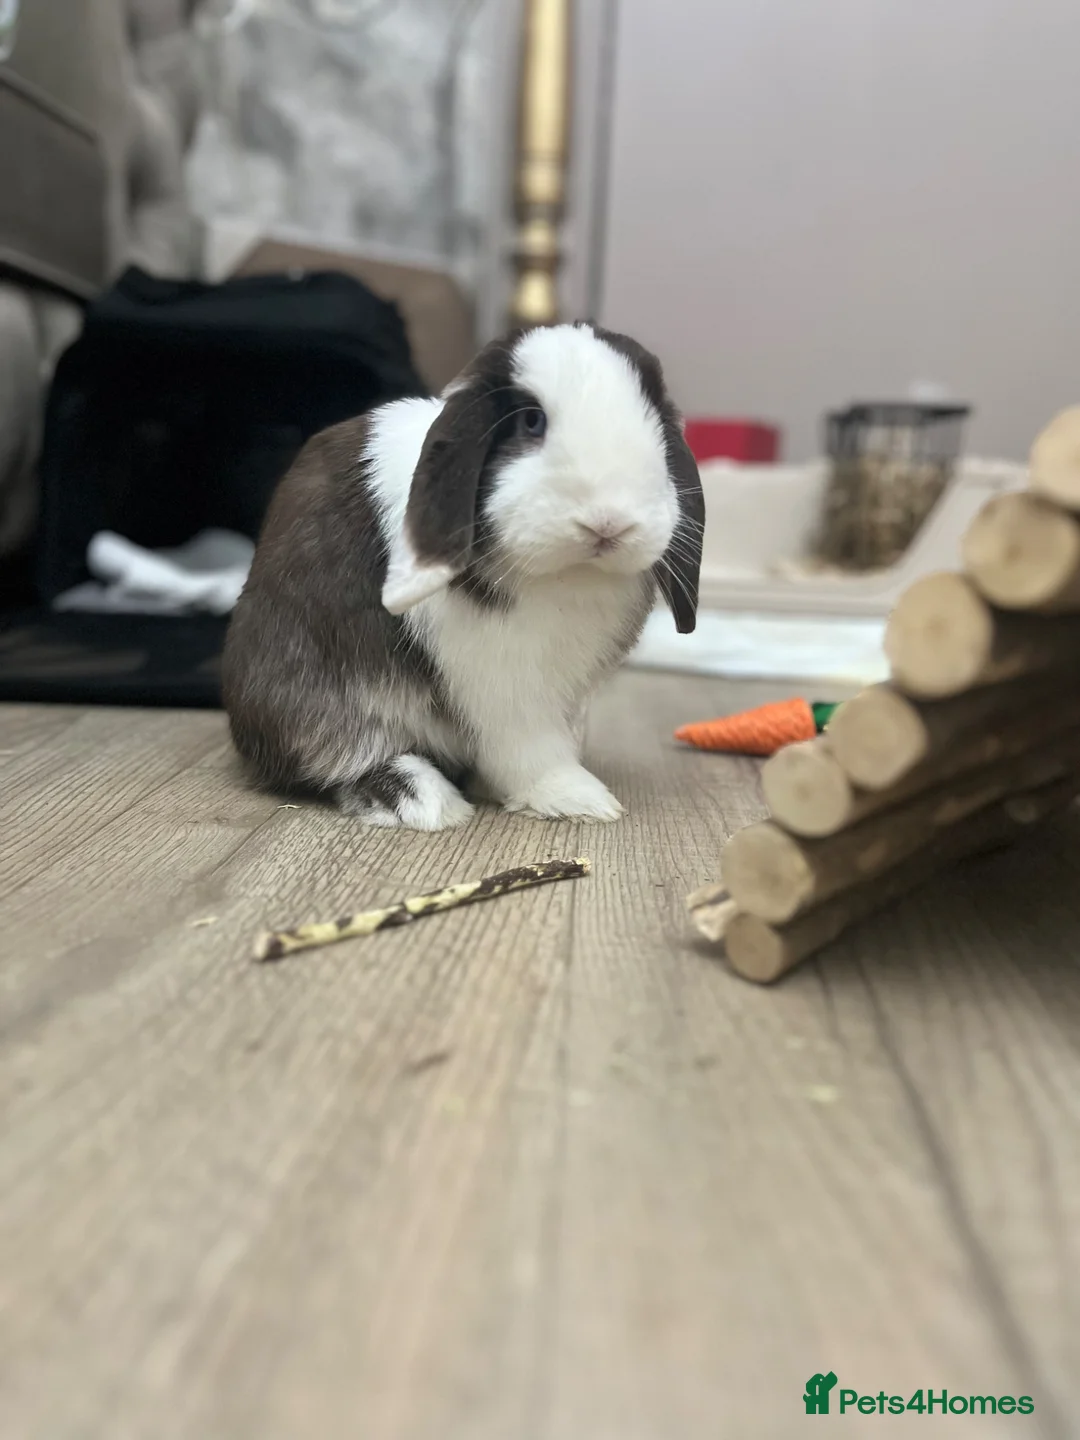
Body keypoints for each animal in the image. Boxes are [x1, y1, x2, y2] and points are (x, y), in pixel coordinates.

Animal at [222, 321, 705, 830]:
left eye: (656, 423)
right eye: (531, 421)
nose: (609, 522)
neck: (566, 575)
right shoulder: (501, 683)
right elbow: (529, 748)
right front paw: (580, 798)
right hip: (309, 701)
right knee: (336, 759)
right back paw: (425, 801)